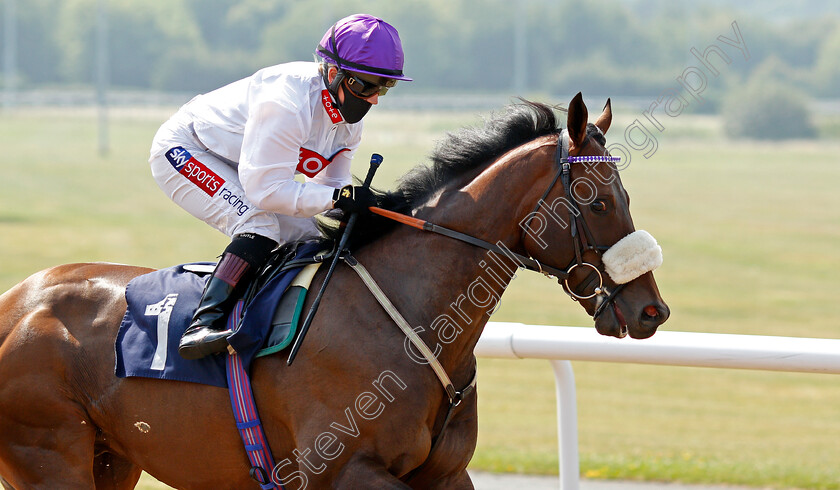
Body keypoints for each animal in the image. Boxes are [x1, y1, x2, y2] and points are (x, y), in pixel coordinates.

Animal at [0, 94, 668, 488]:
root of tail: (16, 302)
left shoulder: (446, 474)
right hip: (49, 454)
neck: (410, 323)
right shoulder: (346, 471)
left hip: (111, 458)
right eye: (597, 202)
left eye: (626, 197)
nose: (650, 310)